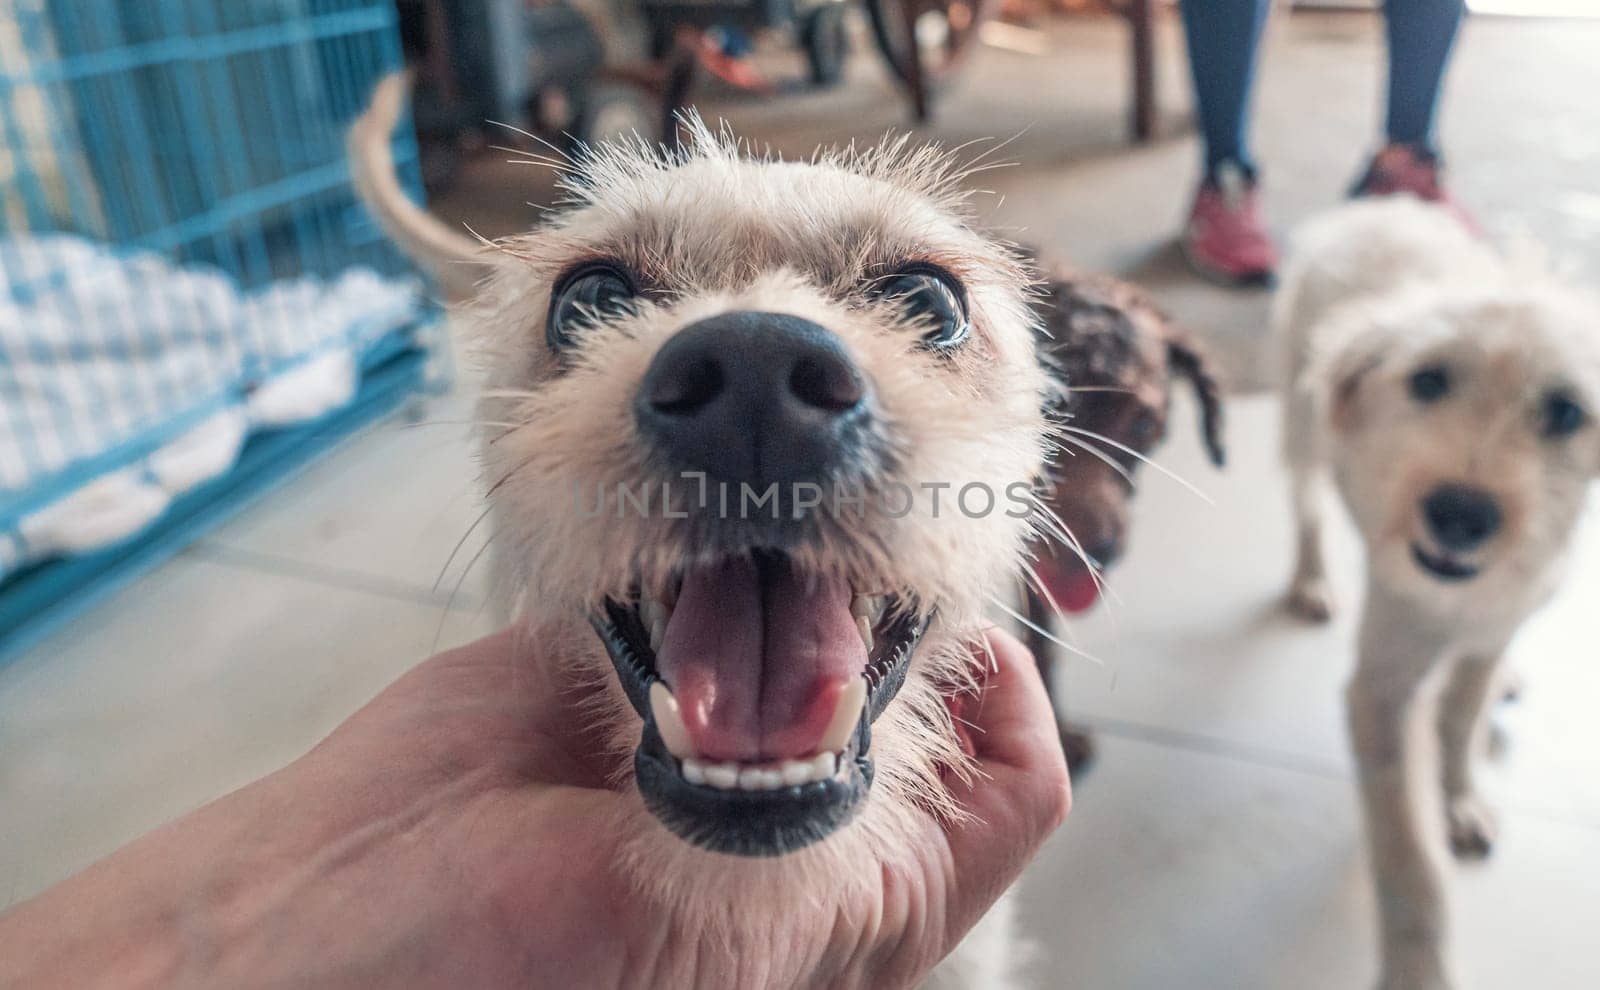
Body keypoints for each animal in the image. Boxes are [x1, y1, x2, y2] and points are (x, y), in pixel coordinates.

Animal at [1273, 197, 1600, 985]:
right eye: (1427, 382)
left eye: (1566, 412)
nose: (1460, 513)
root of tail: (1378, 205)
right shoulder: (1379, 692)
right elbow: (1408, 863)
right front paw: (1417, 970)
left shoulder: (1494, 629)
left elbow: (1460, 715)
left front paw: (1461, 798)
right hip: (1302, 421)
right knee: (1305, 504)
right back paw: (1311, 579)